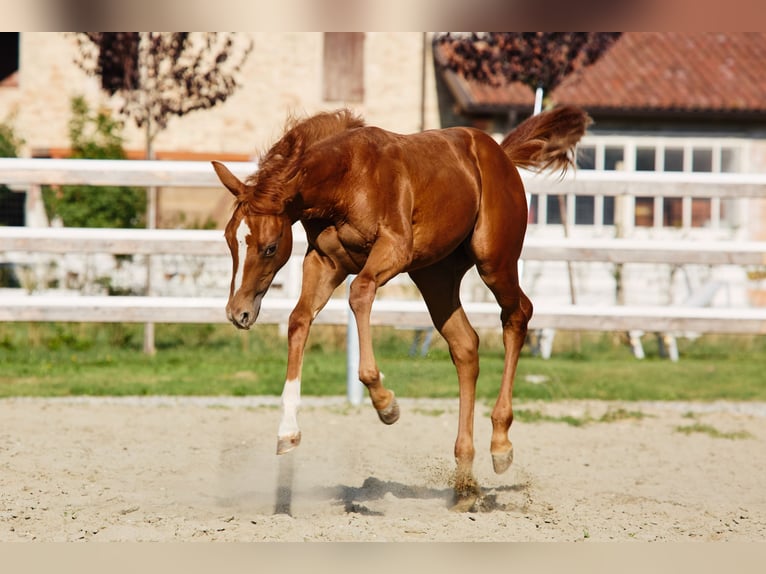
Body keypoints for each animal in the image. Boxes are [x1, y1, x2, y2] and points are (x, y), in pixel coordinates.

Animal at [212, 105, 590, 509]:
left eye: (269, 247)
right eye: (229, 239)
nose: (238, 313)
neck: (347, 179)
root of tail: (500, 154)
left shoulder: (394, 249)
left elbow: (360, 292)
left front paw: (385, 404)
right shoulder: (325, 262)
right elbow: (299, 319)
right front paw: (287, 432)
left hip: (494, 261)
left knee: (518, 315)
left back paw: (500, 445)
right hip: (434, 275)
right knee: (465, 345)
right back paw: (464, 484)